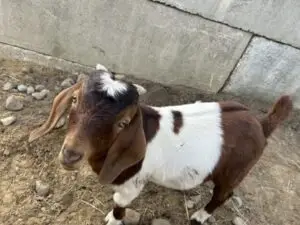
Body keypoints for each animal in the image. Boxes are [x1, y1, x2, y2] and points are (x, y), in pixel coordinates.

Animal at [28, 67, 292, 225]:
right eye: (74, 100)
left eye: (123, 123)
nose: (71, 155)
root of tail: (261, 124)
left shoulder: (132, 184)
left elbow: (119, 202)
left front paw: (113, 219)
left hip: (235, 171)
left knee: (225, 193)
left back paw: (200, 215)